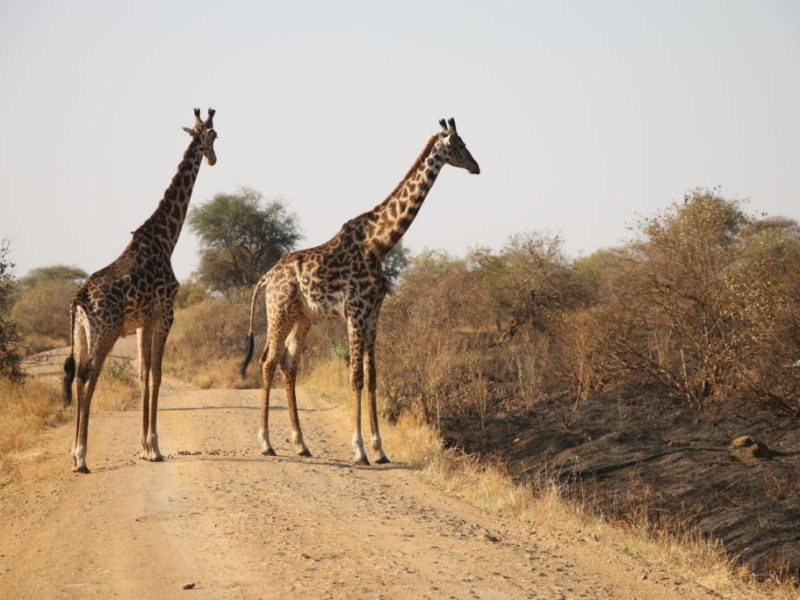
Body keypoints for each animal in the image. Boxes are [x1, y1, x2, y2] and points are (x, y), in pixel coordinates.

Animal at [62, 108, 218, 473]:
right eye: (214, 136)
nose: (214, 159)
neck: (165, 239)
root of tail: (79, 299)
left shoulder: (142, 323)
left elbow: (144, 374)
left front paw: (146, 447)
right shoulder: (165, 314)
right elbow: (157, 375)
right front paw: (155, 448)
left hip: (81, 333)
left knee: (77, 377)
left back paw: (75, 455)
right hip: (105, 331)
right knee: (88, 377)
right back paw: (81, 456)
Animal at [240, 118, 479, 465]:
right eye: (459, 145)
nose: (476, 167)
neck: (379, 244)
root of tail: (266, 277)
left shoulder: (374, 311)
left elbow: (373, 376)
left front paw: (380, 450)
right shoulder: (355, 311)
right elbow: (355, 376)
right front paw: (360, 450)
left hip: (302, 318)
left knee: (289, 365)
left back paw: (301, 444)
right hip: (279, 311)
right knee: (267, 361)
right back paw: (266, 443)